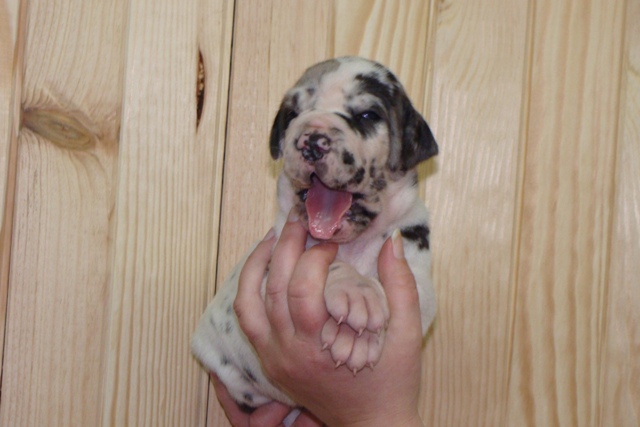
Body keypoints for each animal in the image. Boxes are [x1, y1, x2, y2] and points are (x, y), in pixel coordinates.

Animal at [191, 56, 438, 409]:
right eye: (293, 113)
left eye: (367, 115)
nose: (311, 140)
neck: (351, 244)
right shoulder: (269, 270)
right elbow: (327, 265)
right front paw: (355, 292)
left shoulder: (420, 284)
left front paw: (359, 322)